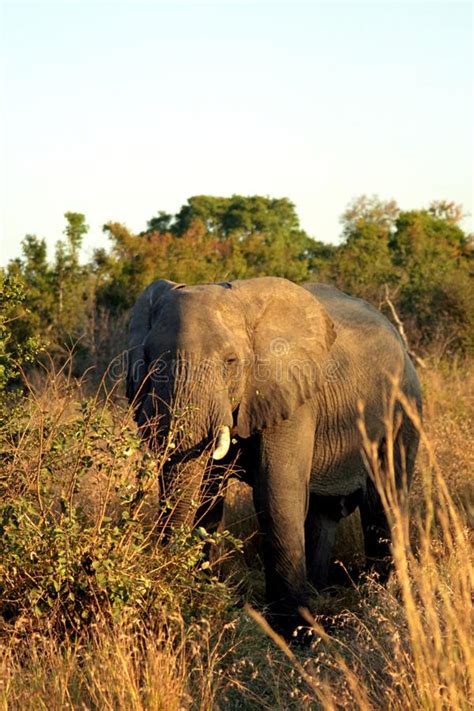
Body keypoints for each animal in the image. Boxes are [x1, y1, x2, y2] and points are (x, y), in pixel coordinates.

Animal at [125, 276, 418, 636]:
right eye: (148, 356)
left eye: (231, 362)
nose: (165, 581)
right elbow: (208, 494)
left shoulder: (293, 395)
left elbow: (277, 493)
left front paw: (294, 632)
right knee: (323, 513)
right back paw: (320, 594)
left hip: (402, 410)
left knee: (384, 504)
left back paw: (379, 600)